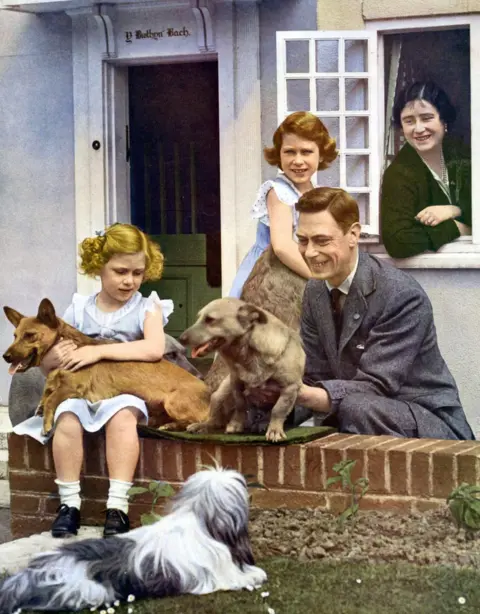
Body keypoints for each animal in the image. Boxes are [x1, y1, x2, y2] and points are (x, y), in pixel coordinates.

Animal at [0, 470, 266, 612]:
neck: (197, 516)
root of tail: (30, 574)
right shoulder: (216, 574)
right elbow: (240, 577)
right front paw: (257, 574)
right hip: (92, 590)